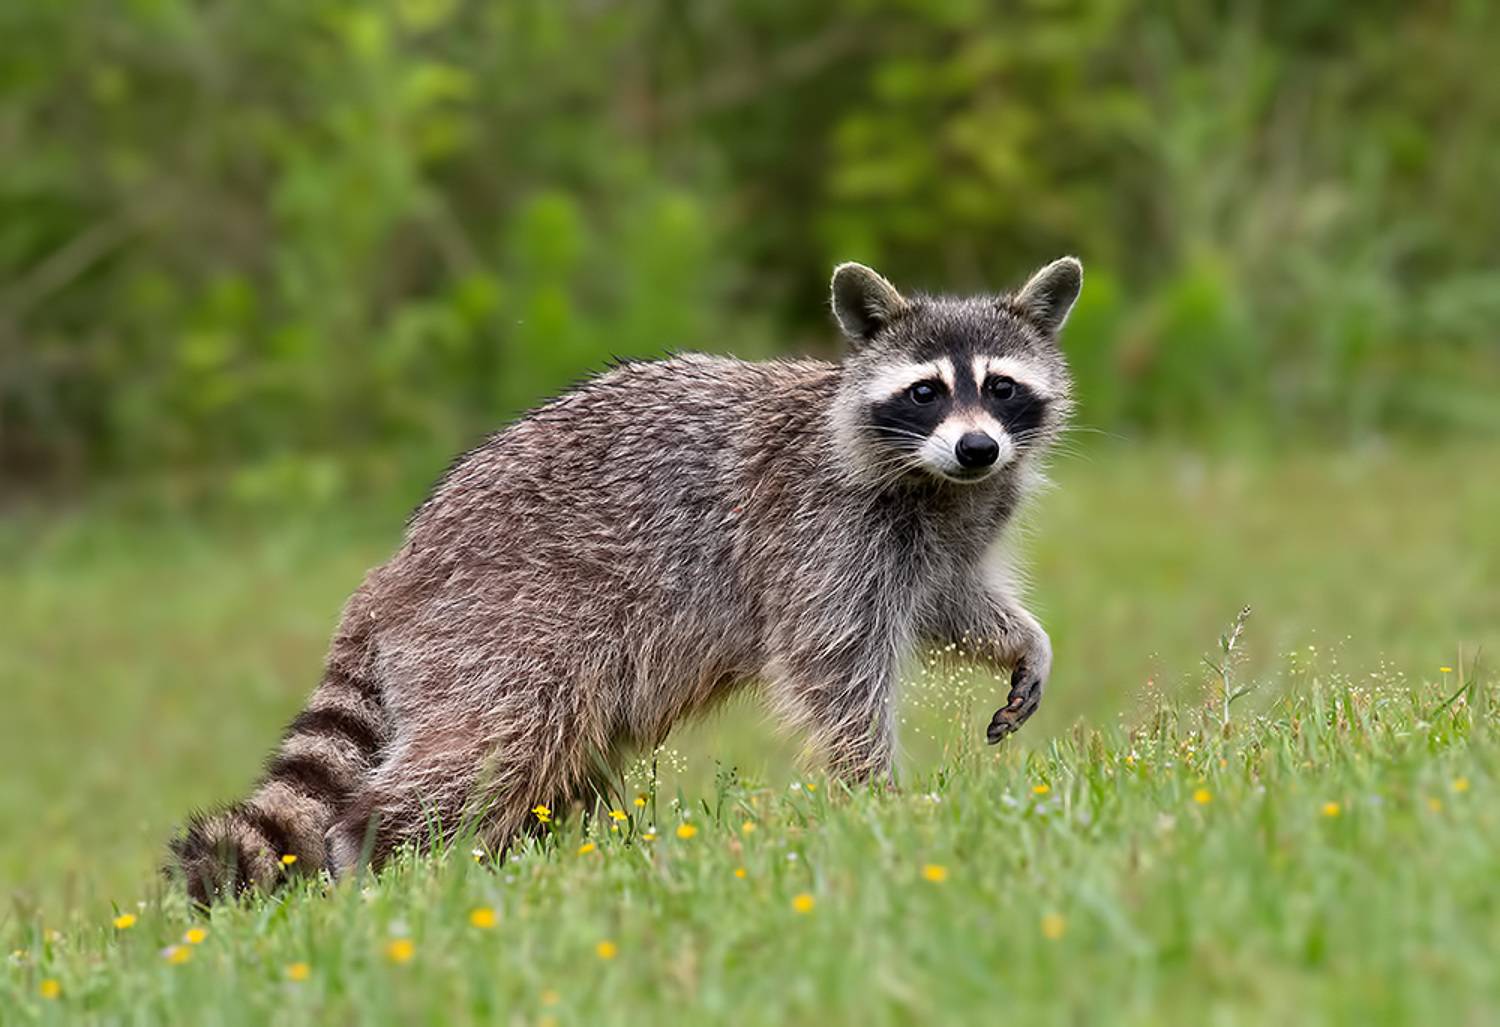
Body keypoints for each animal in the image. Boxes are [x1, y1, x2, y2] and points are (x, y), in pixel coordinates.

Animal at [169, 257, 1081, 904]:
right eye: (926, 391)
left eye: (1001, 386)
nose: (978, 447)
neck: (936, 479)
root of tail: (395, 572)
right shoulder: (815, 532)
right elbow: (835, 664)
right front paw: (874, 794)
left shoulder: (945, 534)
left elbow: (948, 603)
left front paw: (1023, 640)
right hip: (501, 627)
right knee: (498, 742)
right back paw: (381, 845)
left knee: (542, 764)